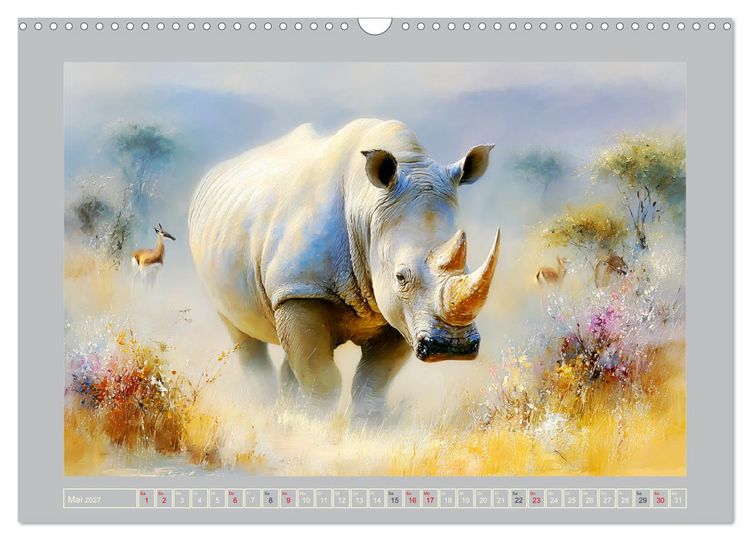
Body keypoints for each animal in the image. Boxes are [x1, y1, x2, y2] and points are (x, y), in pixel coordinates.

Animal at [189, 119, 500, 421]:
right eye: (400, 277)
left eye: (468, 266)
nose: (453, 346)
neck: (367, 209)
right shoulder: (302, 289)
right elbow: (321, 377)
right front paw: (316, 424)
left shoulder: (397, 311)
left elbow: (374, 377)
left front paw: (368, 425)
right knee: (242, 333)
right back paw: (263, 408)